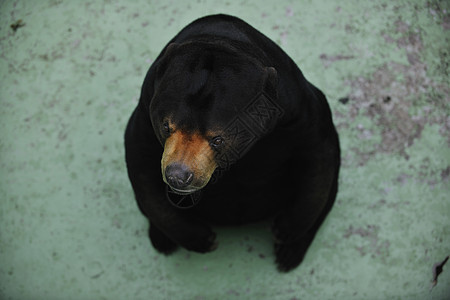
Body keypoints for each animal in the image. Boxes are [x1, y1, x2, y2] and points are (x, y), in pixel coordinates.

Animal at [125, 14, 340, 272]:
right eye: (166, 127)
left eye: (218, 139)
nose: (178, 176)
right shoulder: (146, 108)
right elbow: (142, 166)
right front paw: (200, 238)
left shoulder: (297, 108)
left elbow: (318, 157)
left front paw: (286, 230)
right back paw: (162, 239)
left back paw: (290, 253)